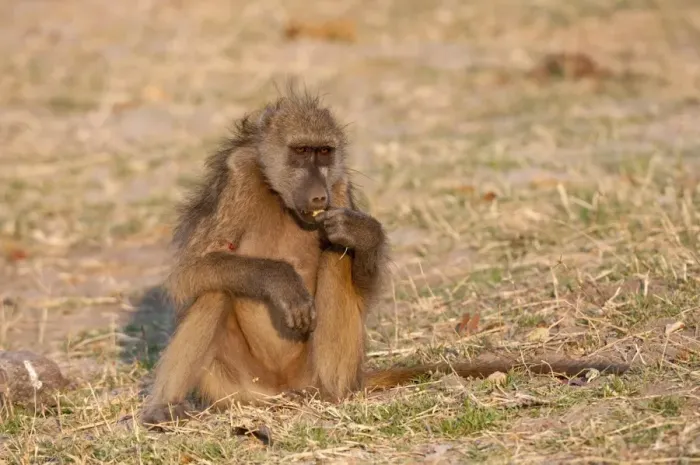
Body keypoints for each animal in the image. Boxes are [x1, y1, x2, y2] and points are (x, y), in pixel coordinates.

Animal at [140, 84, 630, 428]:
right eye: (301, 152)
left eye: (324, 153)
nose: (317, 196)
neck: (280, 196)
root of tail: (287, 391)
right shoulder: (237, 177)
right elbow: (188, 274)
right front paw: (281, 282)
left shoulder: (340, 190)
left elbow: (358, 272)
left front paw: (364, 233)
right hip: (239, 389)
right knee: (216, 288)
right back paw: (165, 408)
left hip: (323, 369)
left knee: (334, 257)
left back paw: (332, 393)